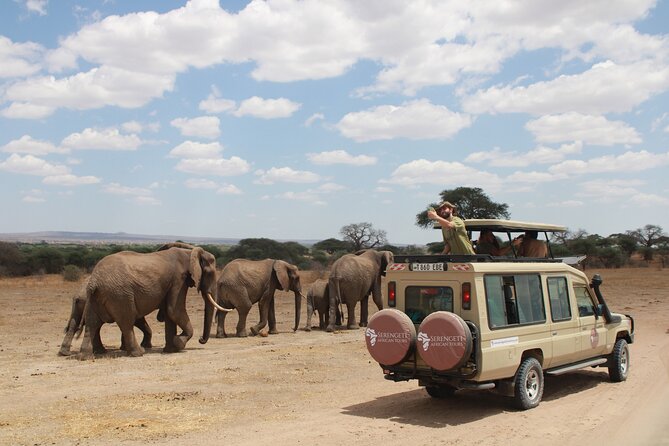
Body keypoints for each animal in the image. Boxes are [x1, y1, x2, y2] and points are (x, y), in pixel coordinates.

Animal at [79, 246, 232, 359]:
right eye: (210, 273)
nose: (201, 339)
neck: (189, 253)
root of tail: (94, 281)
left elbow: (170, 314)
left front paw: (171, 350)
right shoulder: (178, 279)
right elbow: (174, 310)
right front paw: (179, 343)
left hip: (95, 298)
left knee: (92, 323)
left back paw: (88, 356)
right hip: (120, 295)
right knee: (126, 322)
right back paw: (139, 353)